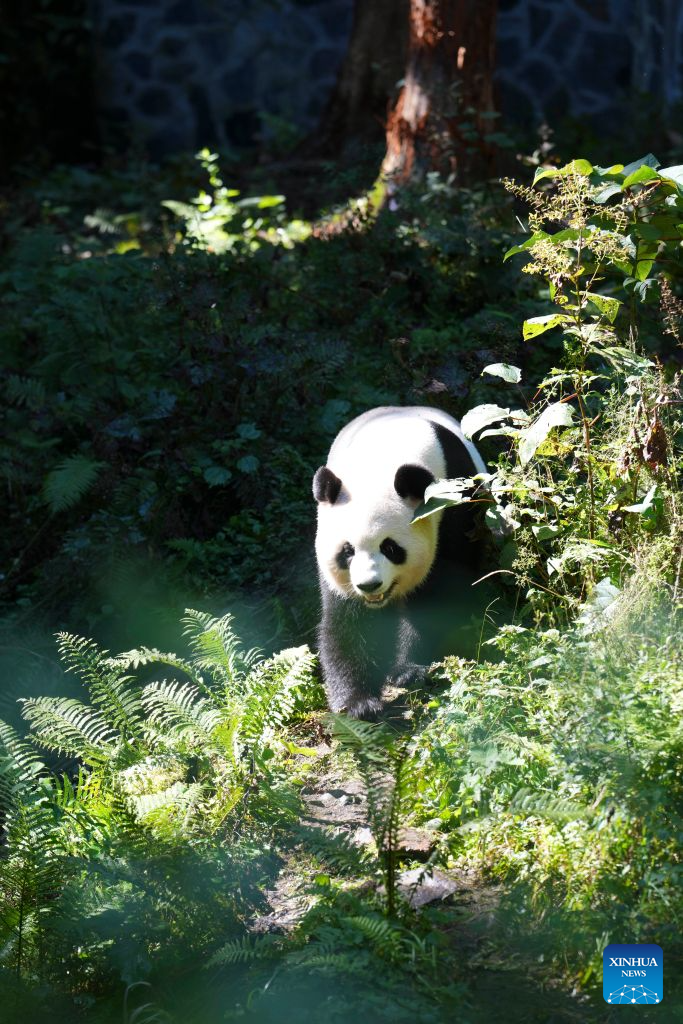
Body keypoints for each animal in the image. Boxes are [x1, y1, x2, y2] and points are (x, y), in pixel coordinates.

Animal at [312, 406, 486, 720]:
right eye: (347, 551)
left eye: (390, 548)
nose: (369, 585)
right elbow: (349, 620)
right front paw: (358, 703)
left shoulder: (452, 503)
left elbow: (438, 596)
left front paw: (408, 671)